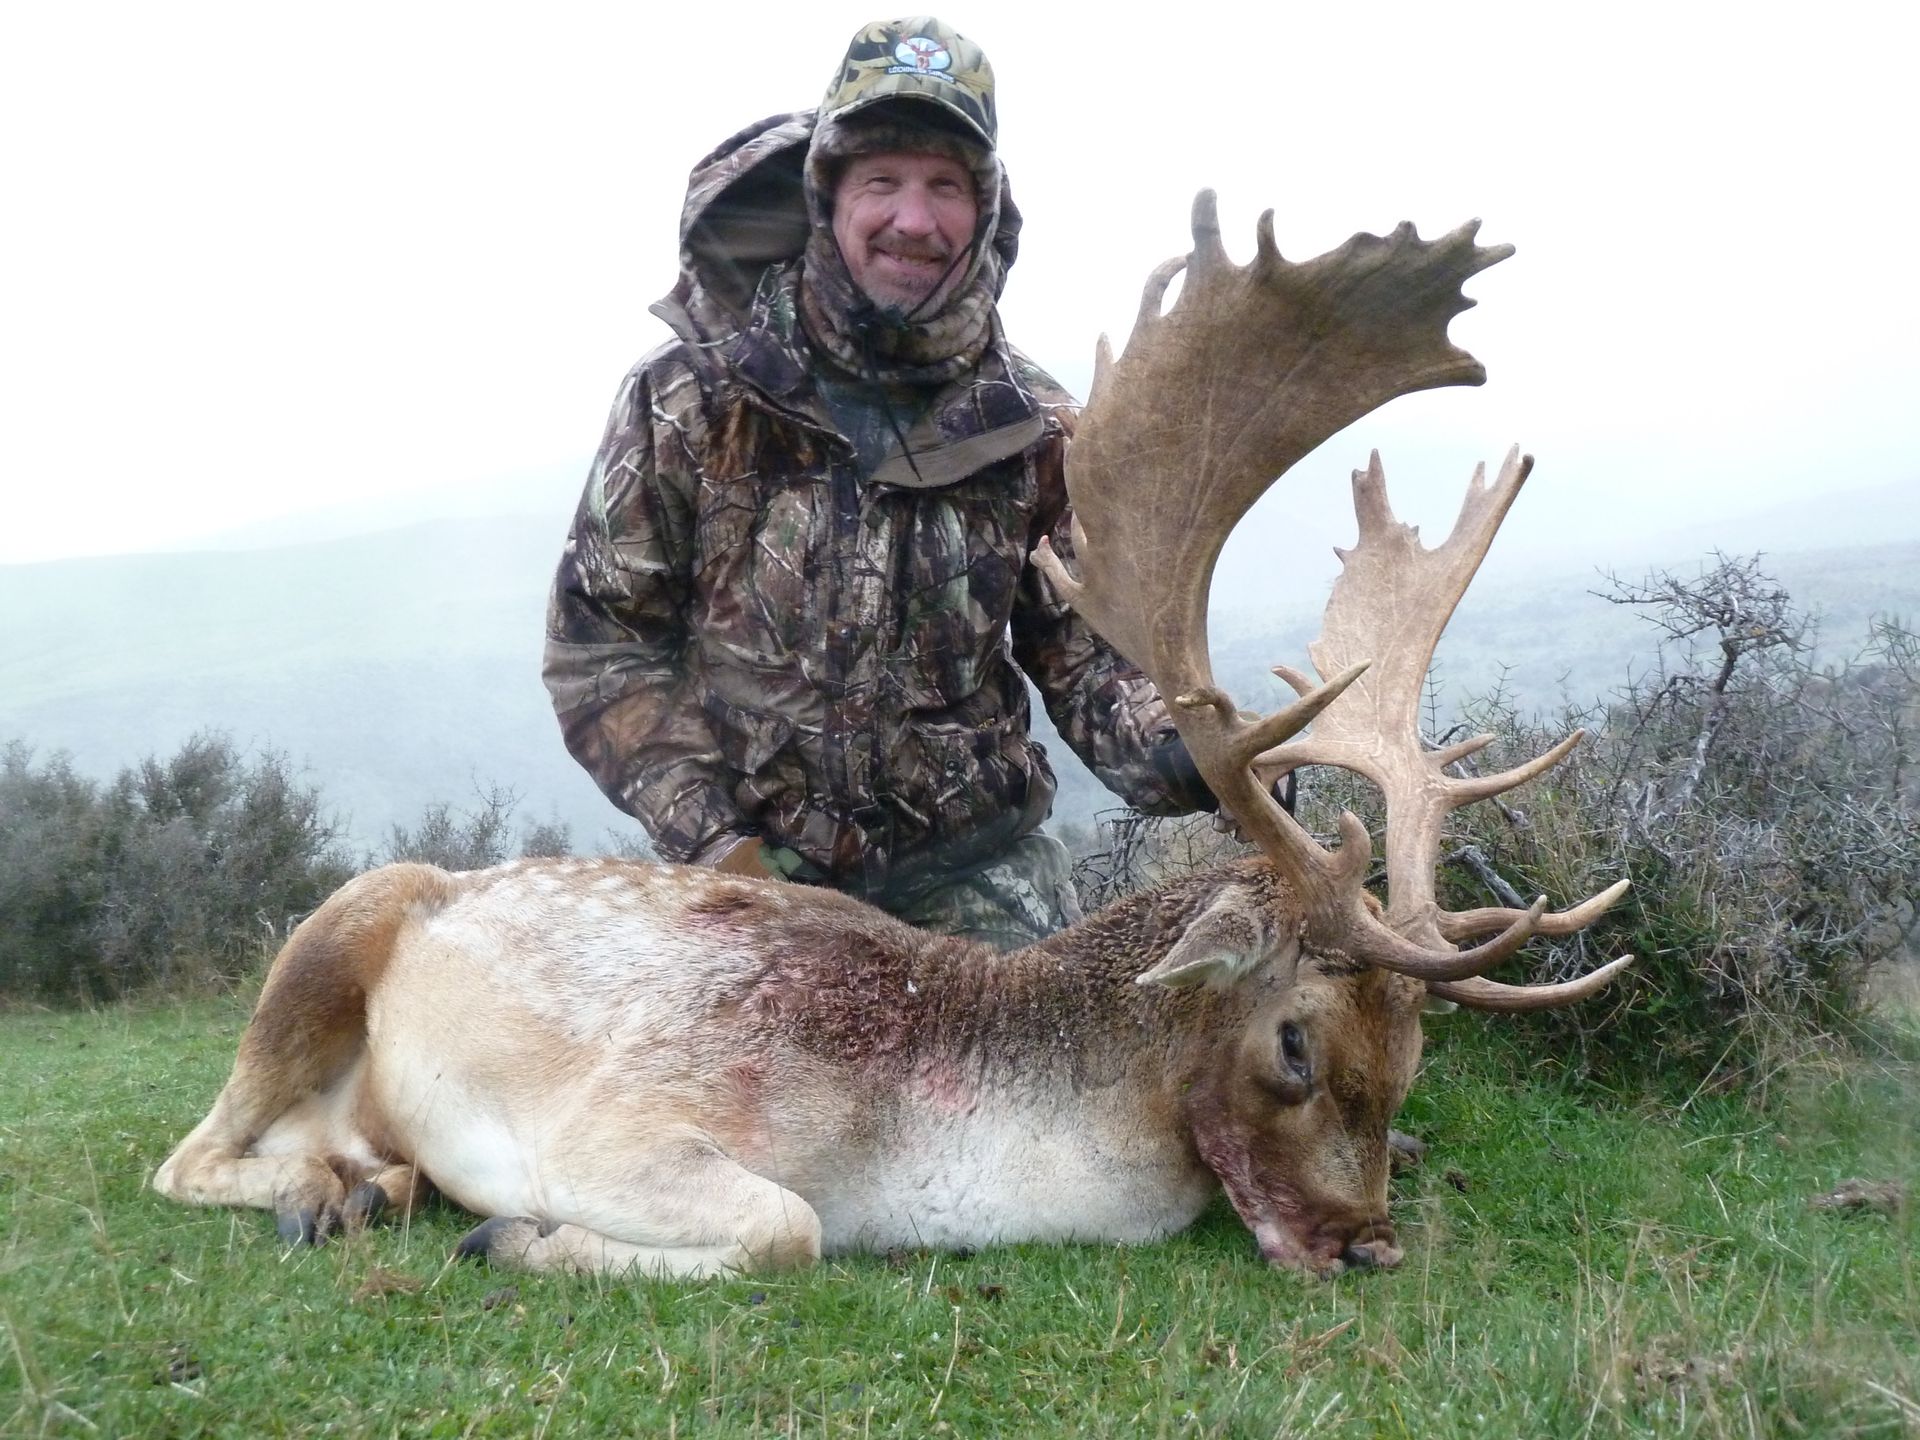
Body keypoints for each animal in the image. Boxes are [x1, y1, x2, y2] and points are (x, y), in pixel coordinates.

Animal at [153, 195, 1631, 1279]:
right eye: (1296, 1045)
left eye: (1415, 1057)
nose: (1367, 1246)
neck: (914, 1146)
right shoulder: (618, 1125)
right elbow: (783, 1230)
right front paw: (512, 1235)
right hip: (330, 931)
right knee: (189, 1153)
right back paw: (336, 1196)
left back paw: (376, 1177)